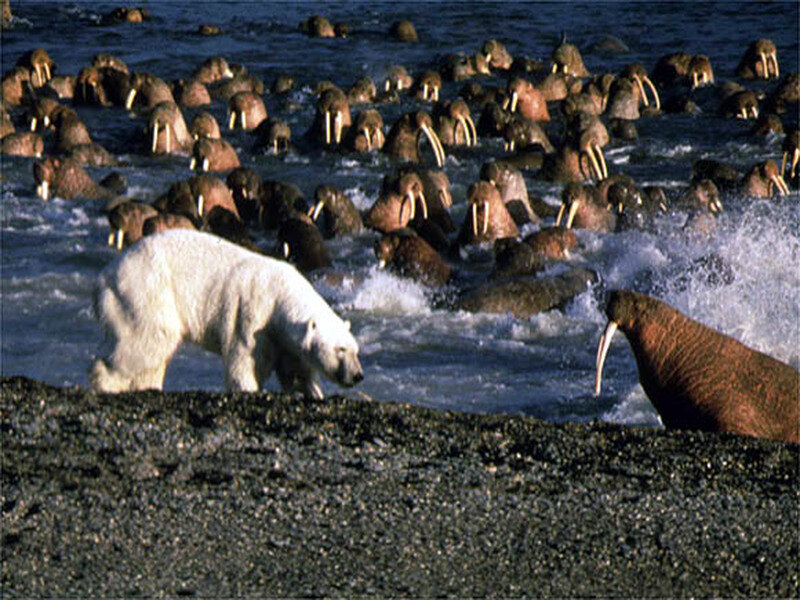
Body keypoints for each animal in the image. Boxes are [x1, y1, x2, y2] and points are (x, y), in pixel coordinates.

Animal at [90, 229, 363, 398]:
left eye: (355, 350)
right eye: (340, 350)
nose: (358, 375)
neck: (280, 293)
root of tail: (103, 276)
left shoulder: (283, 337)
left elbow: (294, 369)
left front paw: (313, 391)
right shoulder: (253, 315)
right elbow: (245, 360)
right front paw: (248, 388)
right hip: (145, 291)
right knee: (148, 339)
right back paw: (107, 383)